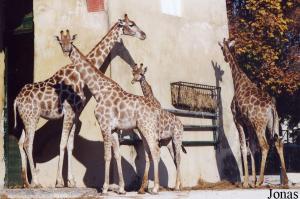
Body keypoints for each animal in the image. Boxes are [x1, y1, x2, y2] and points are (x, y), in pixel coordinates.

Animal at [12, 14, 146, 188]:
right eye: (131, 24)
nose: (143, 35)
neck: (79, 77)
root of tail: (16, 99)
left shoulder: (75, 114)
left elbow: (70, 145)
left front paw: (71, 181)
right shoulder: (69, 112)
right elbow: (62, 143)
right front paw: (59, 182)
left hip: (24, 120)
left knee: (21, 142)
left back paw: (26, 183)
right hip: (32, 118)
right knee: (28, 144)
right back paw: (36, 182)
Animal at [56, 30, 164, 194]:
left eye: (71, 41)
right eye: (61, 42)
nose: (66, 50)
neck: (98, 90)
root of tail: (157, 109)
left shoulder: (104, 125)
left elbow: (106, 156)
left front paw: (105, 187)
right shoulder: (113, 129)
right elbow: (117, 155)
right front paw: (121, 188)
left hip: (148, 128)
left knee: (155, 151)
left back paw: (156, 188)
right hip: (144, 129)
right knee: (151, 153)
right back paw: (145, 188)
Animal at [131, 63, 186, 192]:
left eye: (141, 73)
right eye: (133, 72)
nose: (133, 81)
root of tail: (181, 125)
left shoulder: (156, 137)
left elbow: (155, 156)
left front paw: (153, 186)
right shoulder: (159, 140)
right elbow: (152, 157)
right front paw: (146, 187)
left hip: (177, 138)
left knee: (178, 158)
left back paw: (177, 186)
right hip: (169, 142)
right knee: (175, 159)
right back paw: (180, 185)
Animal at [218, 38, 288, 188]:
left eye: (221, 48)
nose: (225, 58)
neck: (238, 81)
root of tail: (271, 107)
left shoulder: (237, 120)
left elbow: (243, 147)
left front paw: (246, 183)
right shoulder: (249, 124)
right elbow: (252, 148)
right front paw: (252, 180)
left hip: (259, 124)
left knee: (265, 145)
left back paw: (261, 181)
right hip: (272, 123)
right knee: (279, 142)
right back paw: (284, 181)